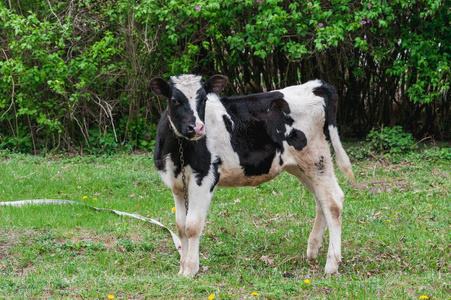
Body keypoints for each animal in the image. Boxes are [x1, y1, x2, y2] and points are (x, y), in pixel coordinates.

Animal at [150, 74, 354, 276]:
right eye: (174, 100)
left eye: (204, 99)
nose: (197, 128)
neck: (178, 151)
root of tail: (315, 85)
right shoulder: (177, 185)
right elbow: (180, 227)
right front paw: (182, 267)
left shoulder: (204, 177)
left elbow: (192, 226)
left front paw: (190, 269)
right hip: (300, 166)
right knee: (321, 200)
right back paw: (312, 250)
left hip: (316, 159)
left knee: (333, 201)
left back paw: (332, 264)